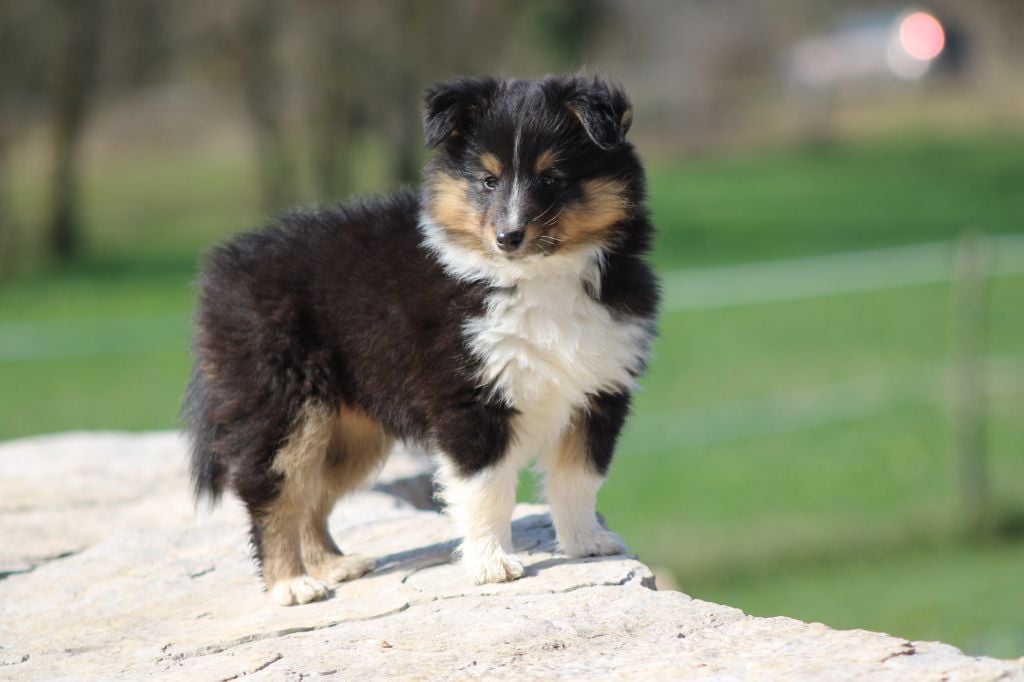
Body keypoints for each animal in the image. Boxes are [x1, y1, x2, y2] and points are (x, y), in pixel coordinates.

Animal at [182, 71, 663, 602]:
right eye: (488, 180)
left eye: (552, 179)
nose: (508, 237)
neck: (537, 277)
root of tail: (223, 268)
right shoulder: (470, 399)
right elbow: (487, 491)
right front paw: (491, 565)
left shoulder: (599, 389)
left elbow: (579, 478)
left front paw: (586, 544)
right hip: (284, 408)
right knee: (274, 495)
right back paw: (293, 584)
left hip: (348, 430)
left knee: (312, 494)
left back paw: (333, 565)